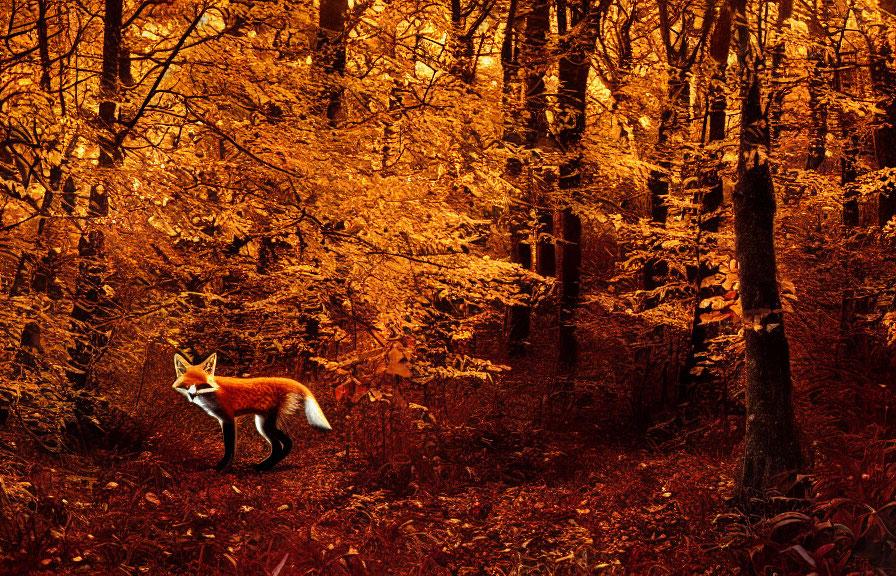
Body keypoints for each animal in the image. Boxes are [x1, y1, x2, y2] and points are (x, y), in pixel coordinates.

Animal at [172, 352, 332, 472]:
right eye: (187, 385)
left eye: (200, 385)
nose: (192, 396)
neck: (212, 393)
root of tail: (279, 379)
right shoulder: (224, 420)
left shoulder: (228, 418)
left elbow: (230, 448)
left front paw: (223, 468)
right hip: (263, 424)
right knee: (286, 443)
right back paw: (266, 466)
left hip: (264, 426)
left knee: (279, 447)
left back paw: (262, 467)